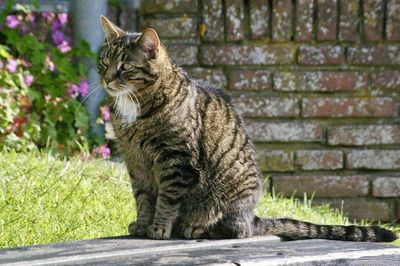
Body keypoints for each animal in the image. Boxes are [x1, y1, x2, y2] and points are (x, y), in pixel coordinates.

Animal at [97, 15, 396, 242]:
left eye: (126, 66)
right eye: (104, 62)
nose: (107, 79)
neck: (135, 105)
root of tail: (253, 218)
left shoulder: (175, 159)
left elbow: (167, 198)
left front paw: (159, 227)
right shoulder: (135, 161)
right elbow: (143, 197)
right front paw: (141, 224)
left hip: (229, 195)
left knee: (235, 230)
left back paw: (197, 227)